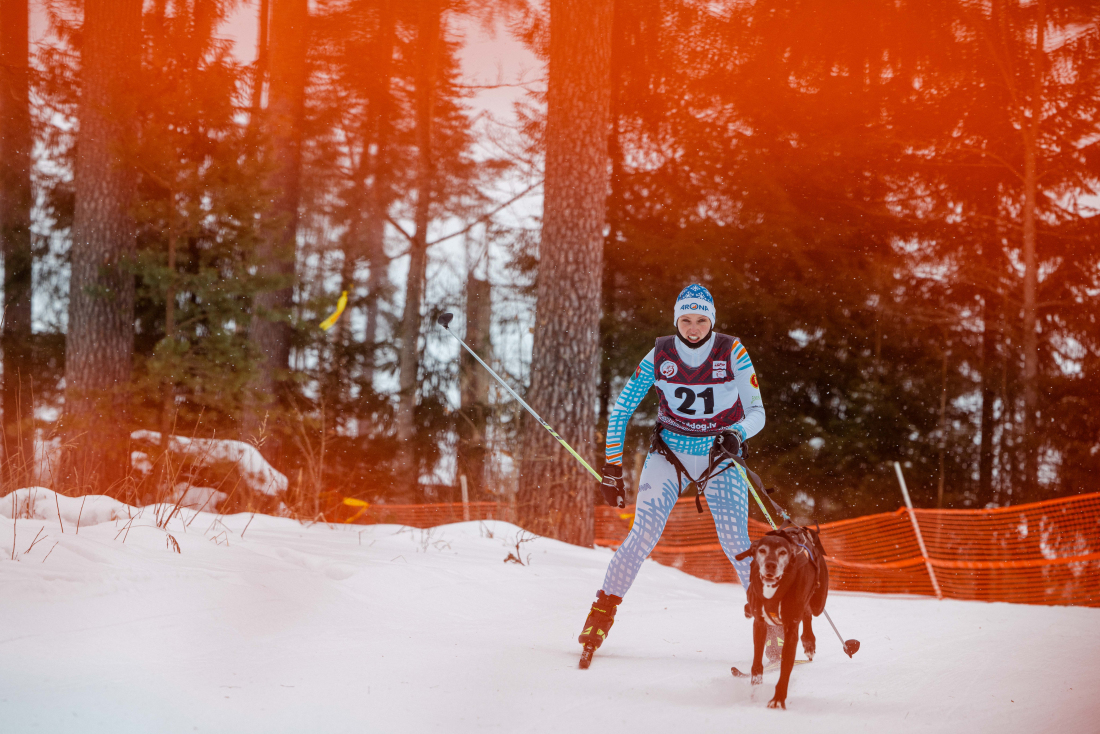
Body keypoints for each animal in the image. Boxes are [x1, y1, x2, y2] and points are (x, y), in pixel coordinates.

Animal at [734, 524, 829, 709]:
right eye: (762, 550)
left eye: (783, 552)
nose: (770, 565)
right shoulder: (759, 623)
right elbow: (757, 663)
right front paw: (756, 686)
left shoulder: (791, 628)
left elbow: (786, 666)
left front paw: (778, 699)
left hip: (818, 603)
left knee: (808, 612)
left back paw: (808, 641)